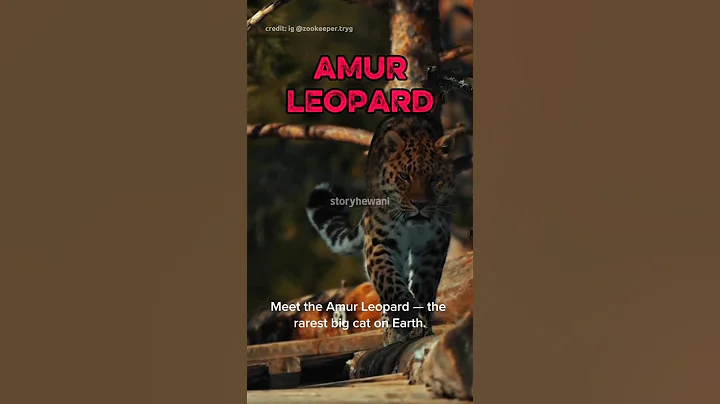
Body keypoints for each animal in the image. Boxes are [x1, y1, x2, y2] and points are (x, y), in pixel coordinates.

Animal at [306, 113, 456, 346]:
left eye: (434, 179)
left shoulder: (433, 244)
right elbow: (387, 278)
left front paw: (420, 326)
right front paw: (404, 315)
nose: (420, 204)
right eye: (404, 176)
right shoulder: (380, 239)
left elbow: (424, 287)